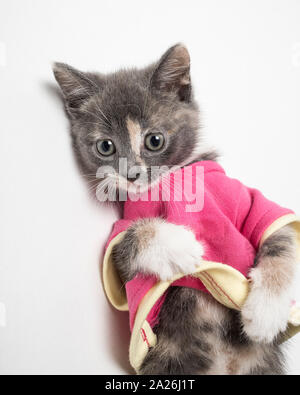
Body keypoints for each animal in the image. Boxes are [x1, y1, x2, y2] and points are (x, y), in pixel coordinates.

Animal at [53, 44, 298, 376]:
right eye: (105, 147)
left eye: (154, 140)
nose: (131, 174)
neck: (172, 180)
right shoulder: (120, 247)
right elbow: (128, 242)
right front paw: (181, 246)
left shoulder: (252, 203)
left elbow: (280, 239)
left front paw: (266, 314)